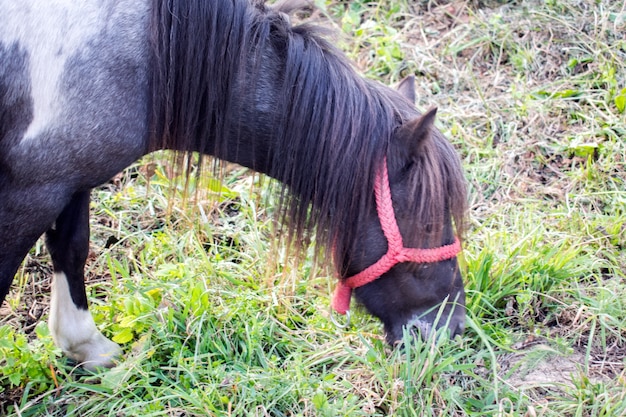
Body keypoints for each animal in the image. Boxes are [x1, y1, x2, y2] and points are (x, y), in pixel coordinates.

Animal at [0, 0, 466, 370]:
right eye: (428, 224)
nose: (453, 326)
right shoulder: (32, 191)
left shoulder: (68, 175)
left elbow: (72, 247)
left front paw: (86, 346)